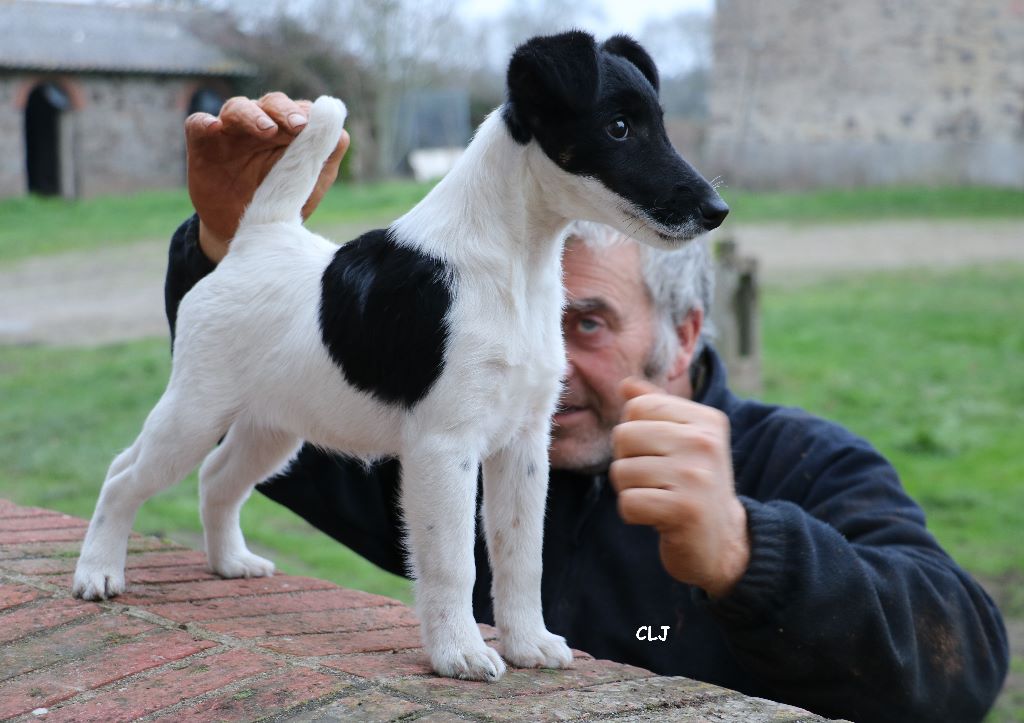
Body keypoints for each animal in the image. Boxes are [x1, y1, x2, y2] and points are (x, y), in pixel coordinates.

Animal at [72, 29, 729, 679]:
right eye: (619, 127)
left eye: (659, 124)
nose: (716, 211)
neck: (513, 263)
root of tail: (258, 240)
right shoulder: (445, 448)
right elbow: (455, 560)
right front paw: (460, 652)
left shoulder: (524, 443)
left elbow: (521, 554)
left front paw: (528, 643)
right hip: (194, 412)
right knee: (124, 474)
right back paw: (97, 572)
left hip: (272, 429)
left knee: (217, 479)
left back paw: (230, 561)